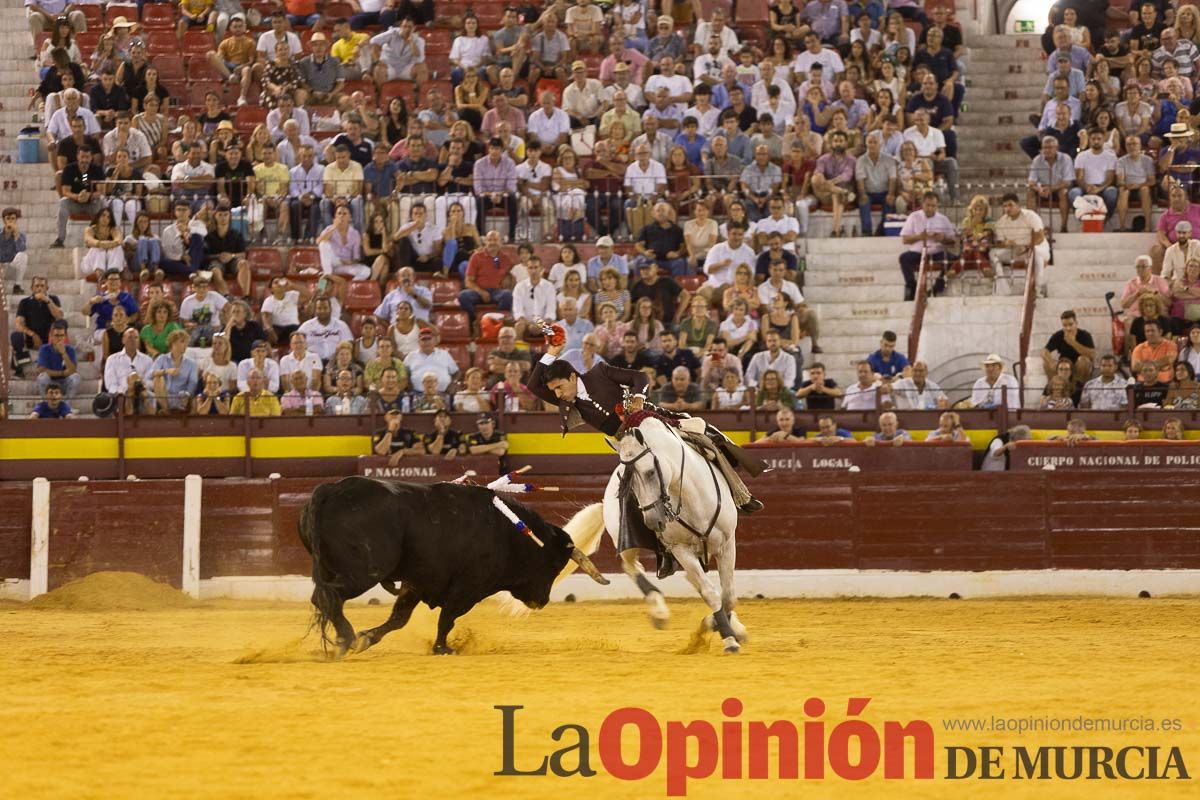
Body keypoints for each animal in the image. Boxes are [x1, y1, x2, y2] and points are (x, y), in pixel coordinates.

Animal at [295, 474, 604, 657]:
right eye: (552, 565)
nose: (542, 601)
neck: (507, 532)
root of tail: (330, 489)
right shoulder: (467, 588)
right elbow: (448, 618)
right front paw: (443, 648)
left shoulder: (417, 582)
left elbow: (399, 618)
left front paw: (367, 638)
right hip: (364, 572)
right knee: (330, 596)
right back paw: (345, 638)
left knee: (324, 597)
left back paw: (345, 640)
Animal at [604, 417, 744, 652]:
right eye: (626, 482)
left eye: (651, 472)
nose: (653, 522)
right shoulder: (680, 549)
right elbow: (711, 593)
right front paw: (726, 637)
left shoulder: (727, 543)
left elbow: (728, 596)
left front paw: (719, 627)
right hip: (625, 541)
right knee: (632, 566)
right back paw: (659, 613)